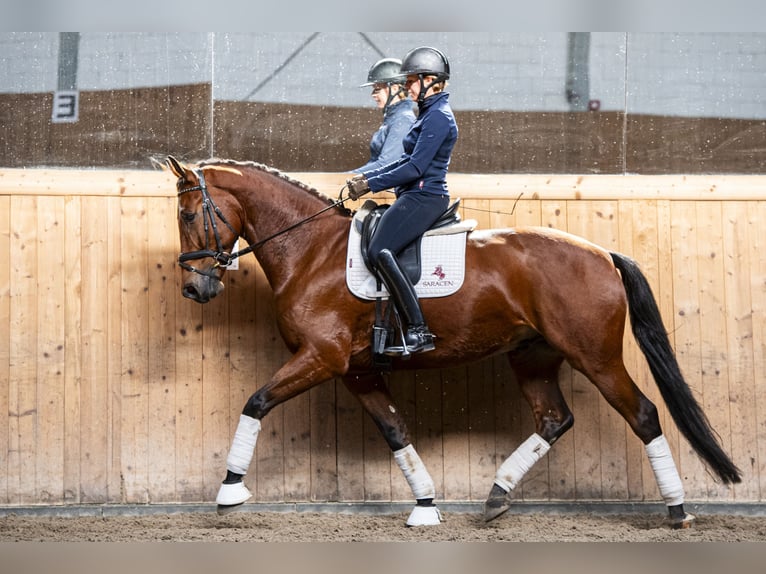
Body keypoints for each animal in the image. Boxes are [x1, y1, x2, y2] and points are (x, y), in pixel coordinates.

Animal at [168, 156, 744, 532]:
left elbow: (255, 403)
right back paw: (496, 496)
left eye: (189, 215)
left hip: (595, 356)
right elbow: (396, 431)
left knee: (643, 414)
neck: (309, 250)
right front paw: (426, 505)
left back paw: (677, 510)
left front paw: (229, 491)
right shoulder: (357, 370)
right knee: (554, 419)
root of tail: (602, 252)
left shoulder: (320, 358)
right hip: (533, 357)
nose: (195, 289)